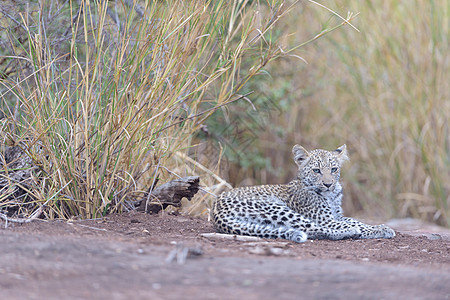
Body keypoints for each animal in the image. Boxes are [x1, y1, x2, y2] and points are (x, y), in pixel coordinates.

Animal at [213, 144, 396, 243]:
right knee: (314, 228)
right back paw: (348, 233)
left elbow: (355, 221)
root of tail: (215, 209)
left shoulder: (337, 215)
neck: (331, 196)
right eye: (316, 171)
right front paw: (375, 229)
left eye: (334, 169)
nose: (328, 184)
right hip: (276, 208)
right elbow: (347, 224)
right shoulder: (326, 219)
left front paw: (379, 227)